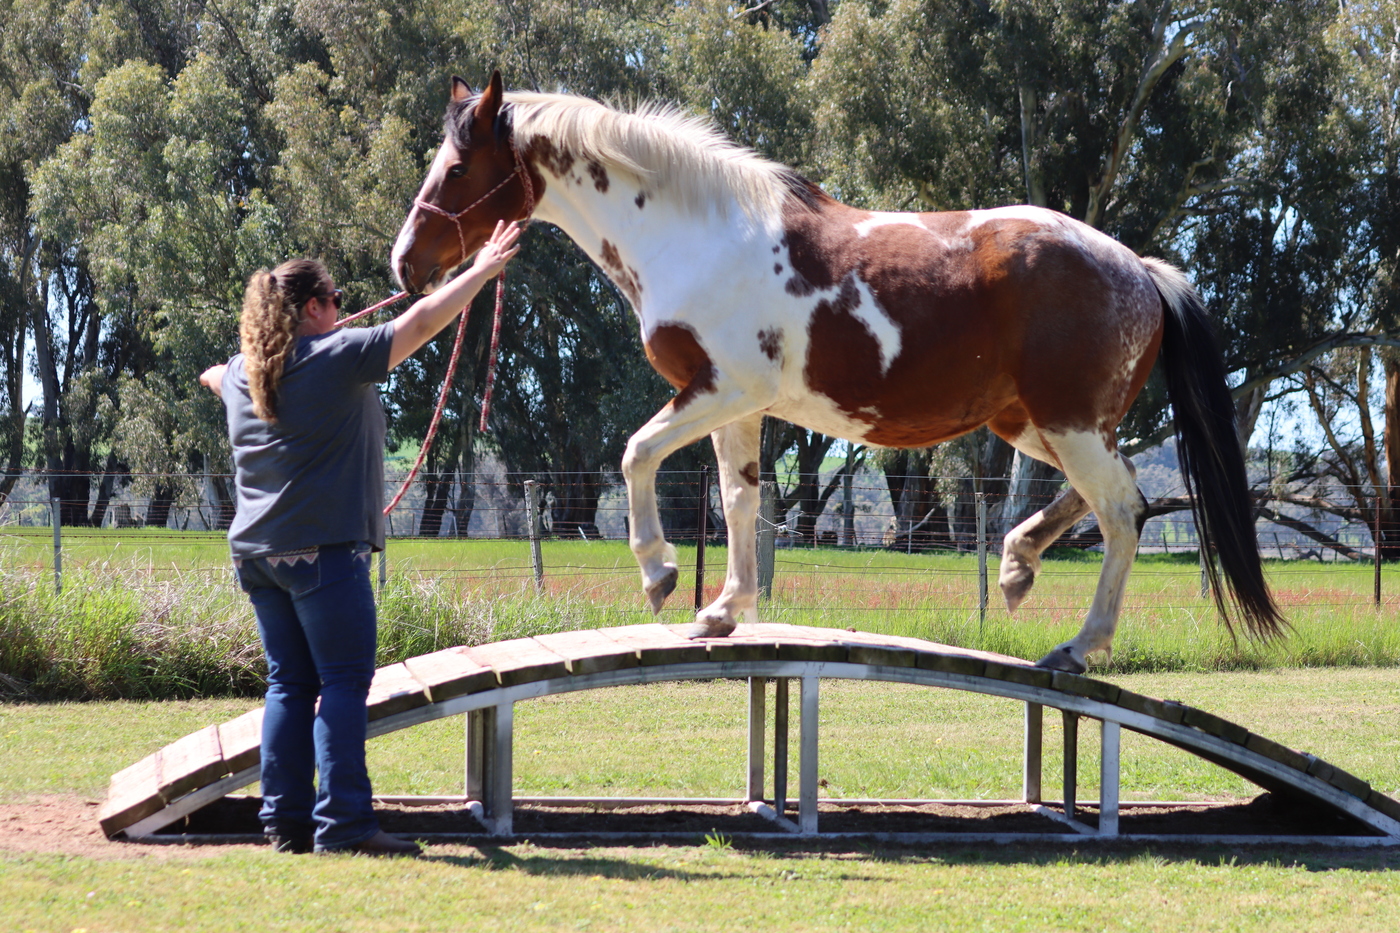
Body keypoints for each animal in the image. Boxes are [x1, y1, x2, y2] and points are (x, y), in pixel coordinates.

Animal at [390, 72, 1283, 673]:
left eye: (458, 169)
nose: (405, 265)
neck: (694, 234)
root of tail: (1139, 268)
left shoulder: (719, 390)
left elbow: (636, 453)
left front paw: (662, 573)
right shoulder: (737, 407)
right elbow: (742, 501)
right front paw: (723, 610)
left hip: (1066, 422)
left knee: (1124, 510)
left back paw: (1078, 642)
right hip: (1036, 422)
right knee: (1105, 497)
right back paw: (1017, 564)